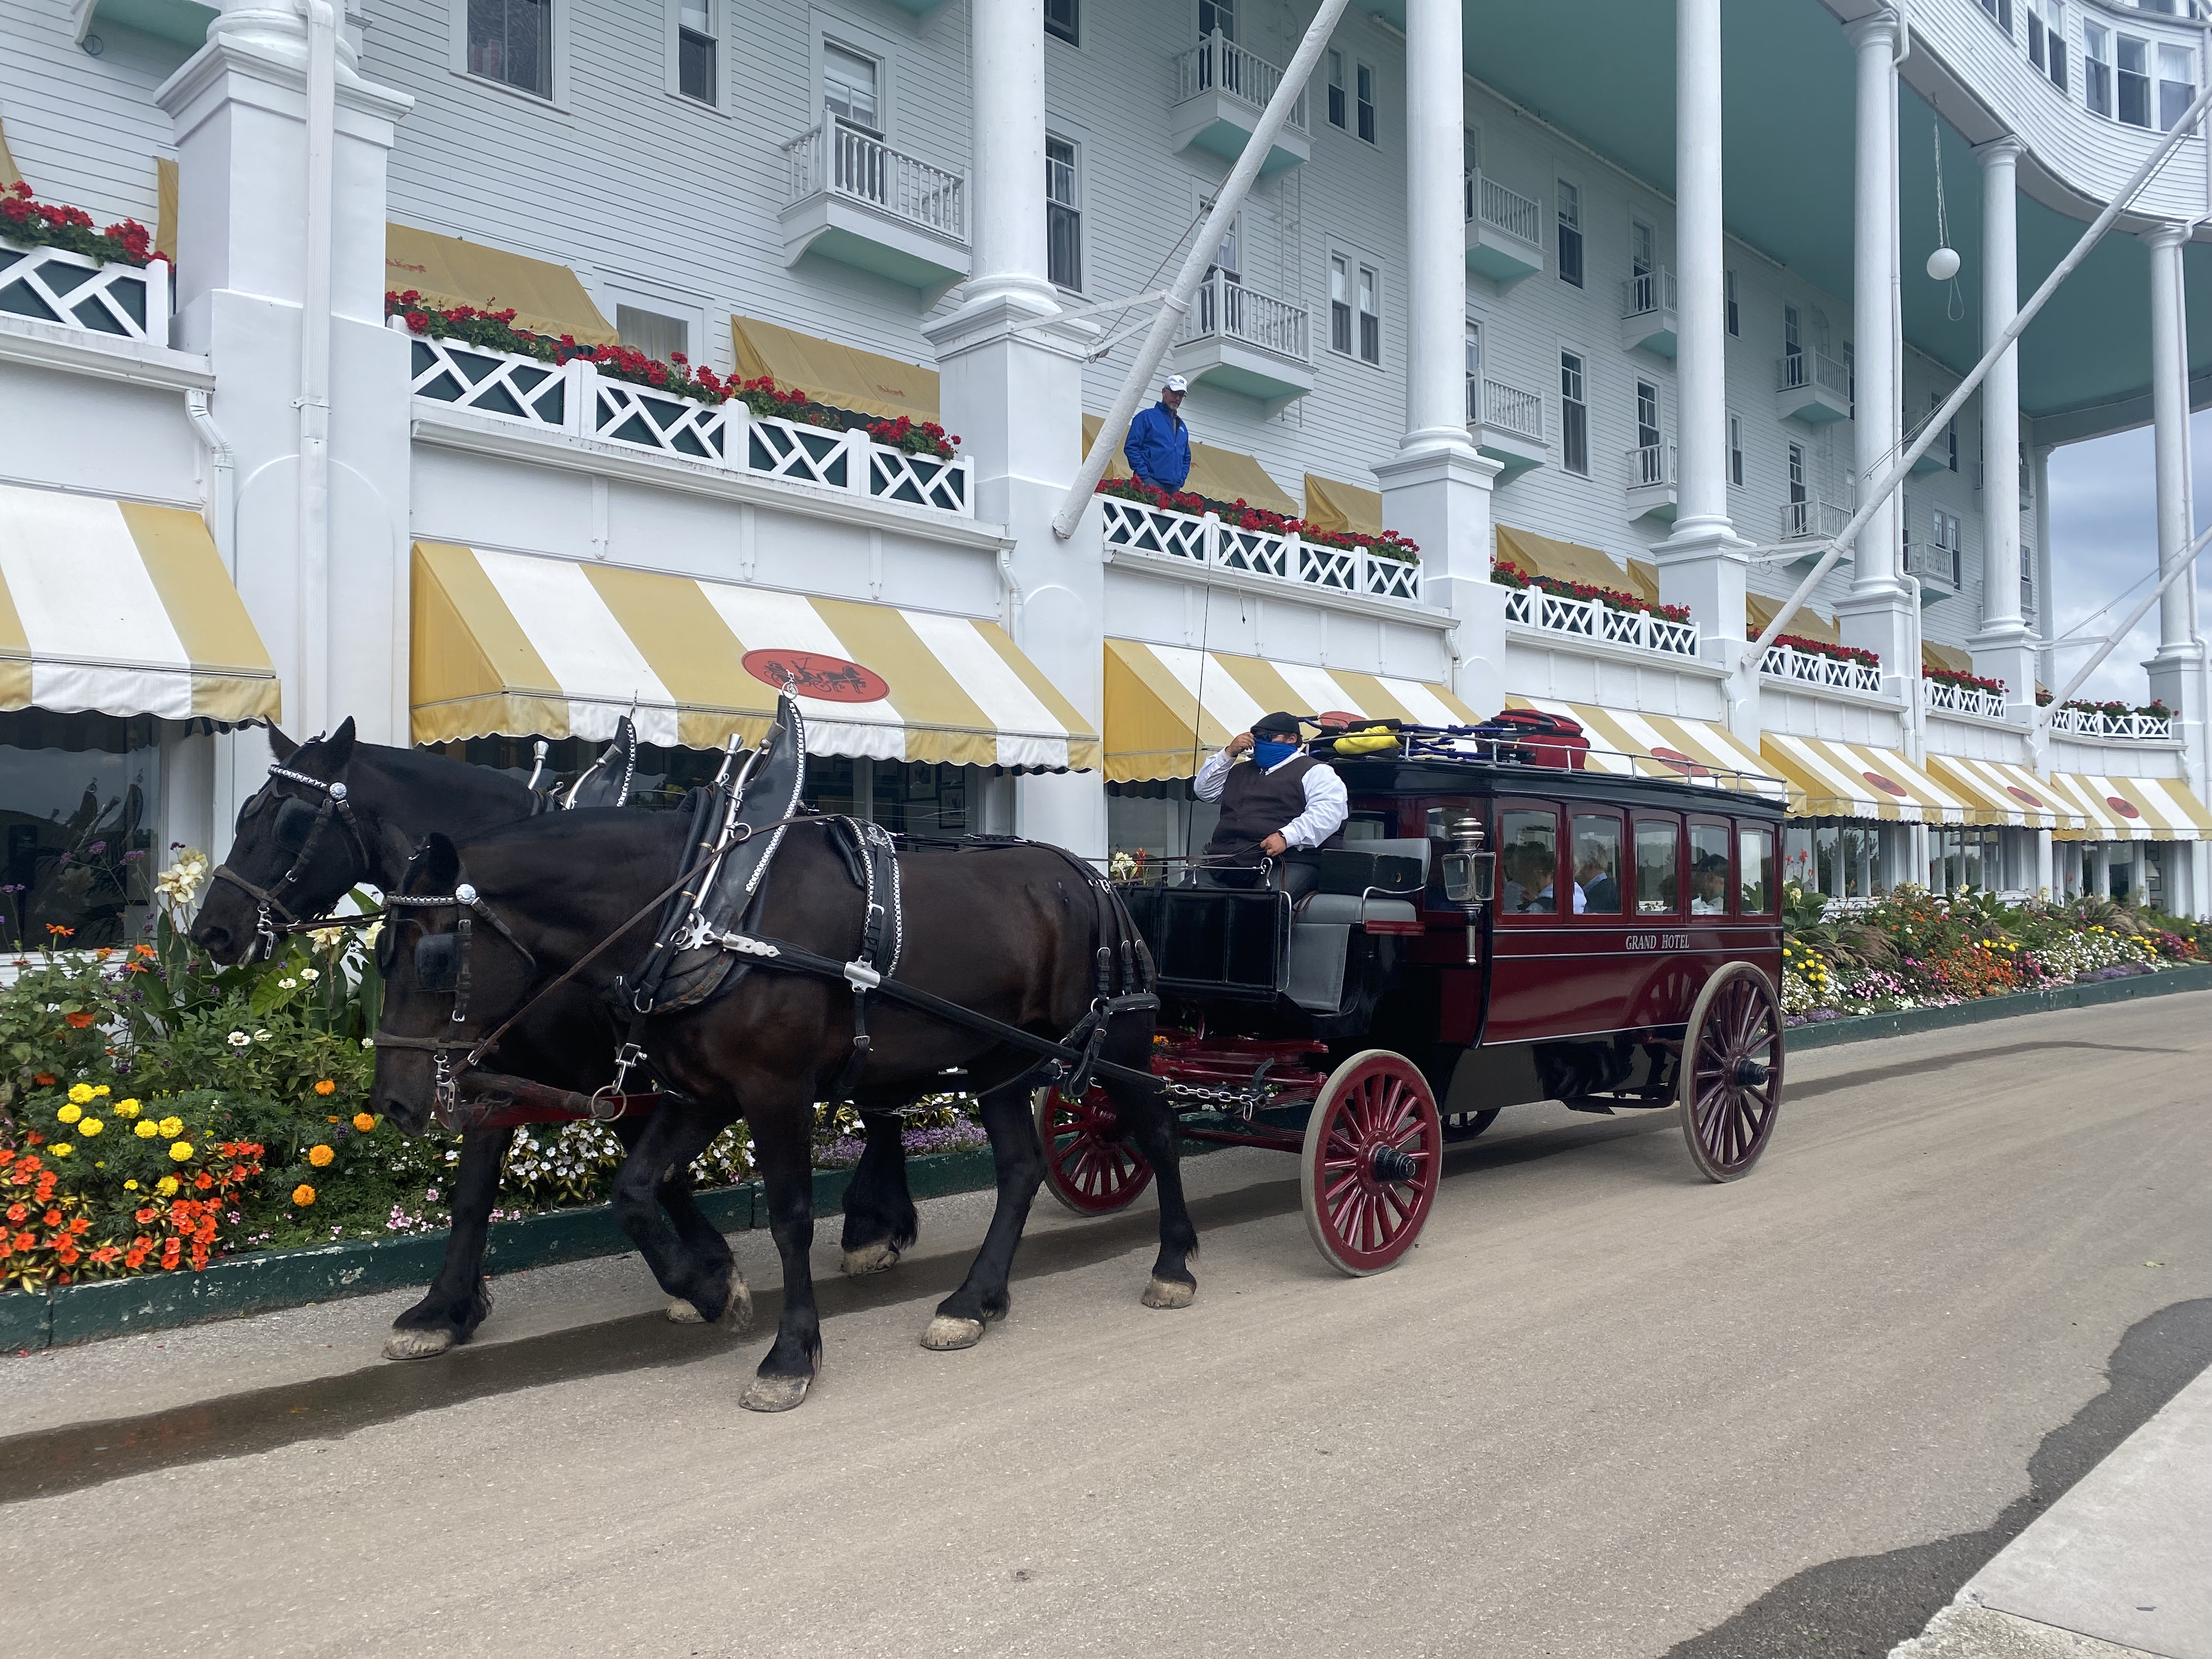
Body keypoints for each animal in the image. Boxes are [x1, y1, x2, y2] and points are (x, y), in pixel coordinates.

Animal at [369, 810, 1197, 1411]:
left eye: (434, 957)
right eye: (380, 952)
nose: (394, 1103)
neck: (707, 917)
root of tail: (1092, 875)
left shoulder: (775, 1091)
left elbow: (791, 1216)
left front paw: (790, 1353)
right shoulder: (701, 1093)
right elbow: (634, 1192)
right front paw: (710, 1289)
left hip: (1119, 1038)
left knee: (1157, 1130)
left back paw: (1175, 1263)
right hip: (997, 1059)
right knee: (1022, 1169)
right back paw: (974, 1299)